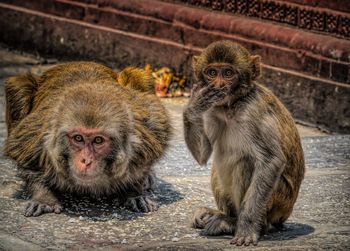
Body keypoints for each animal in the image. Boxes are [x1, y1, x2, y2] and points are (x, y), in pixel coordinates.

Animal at [4, 61, 171, 217]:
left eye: (98, 140)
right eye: (78, 138)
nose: (86, 160)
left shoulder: (147, 133)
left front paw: (133, 192)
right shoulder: (37, 135)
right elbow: (25, 158)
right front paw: (44, 197)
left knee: (139, 76)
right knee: (18, 87)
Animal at [185, 40, 304, 245]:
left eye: (228, 73)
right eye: (212, 72)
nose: (218, 85)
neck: (232, 105)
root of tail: (285, 214)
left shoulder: (254, 110)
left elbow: (271, 161)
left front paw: (247, 228)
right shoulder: (213, 109)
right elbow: (203, 156)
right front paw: (193, 105)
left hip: (279, 204)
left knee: (245, 163)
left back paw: (236, 223)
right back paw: (220, 215)